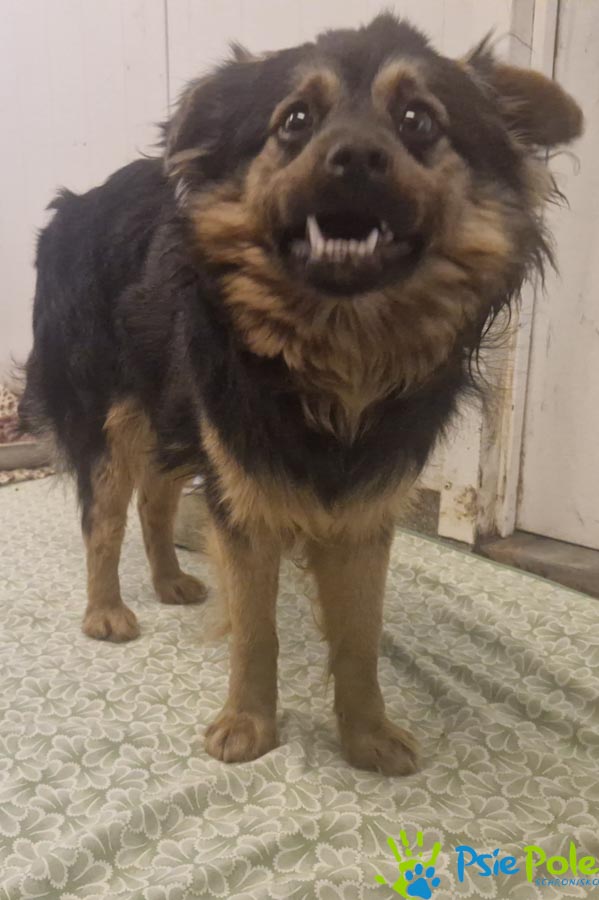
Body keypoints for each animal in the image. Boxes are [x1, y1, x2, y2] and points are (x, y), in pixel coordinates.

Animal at [20, 14, 582, 775]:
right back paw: (106, 611)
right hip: (114, 418)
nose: (355, 157)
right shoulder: (245, 492)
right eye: (295, 121)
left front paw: (367, 734)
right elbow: (256, 630)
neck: (338, 349)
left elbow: (360, 634)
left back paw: (169, 581)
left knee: (154, 501)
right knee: (104, 518)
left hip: (176, 412)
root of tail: (75, 204)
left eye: (418, 120)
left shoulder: (363, 508)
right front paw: (248, 726)